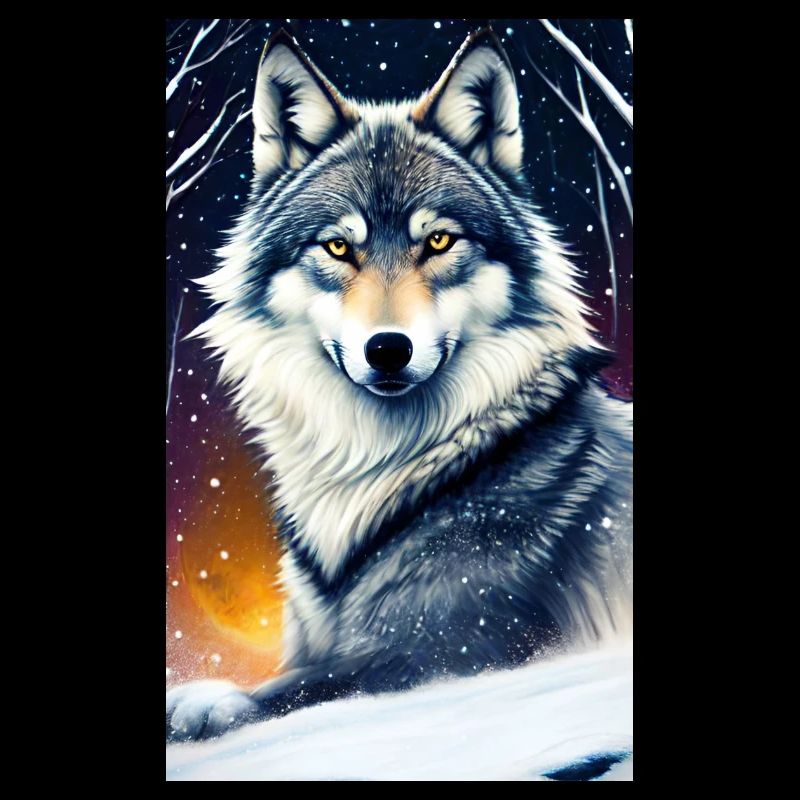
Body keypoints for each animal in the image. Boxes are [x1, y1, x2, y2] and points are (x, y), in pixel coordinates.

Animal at [166, 26, 633, 742]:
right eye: (337, 247)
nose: (388, 349)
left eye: (438, 241)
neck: (386, 470)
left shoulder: (454, 646)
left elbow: (310, 685)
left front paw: (207, 702)